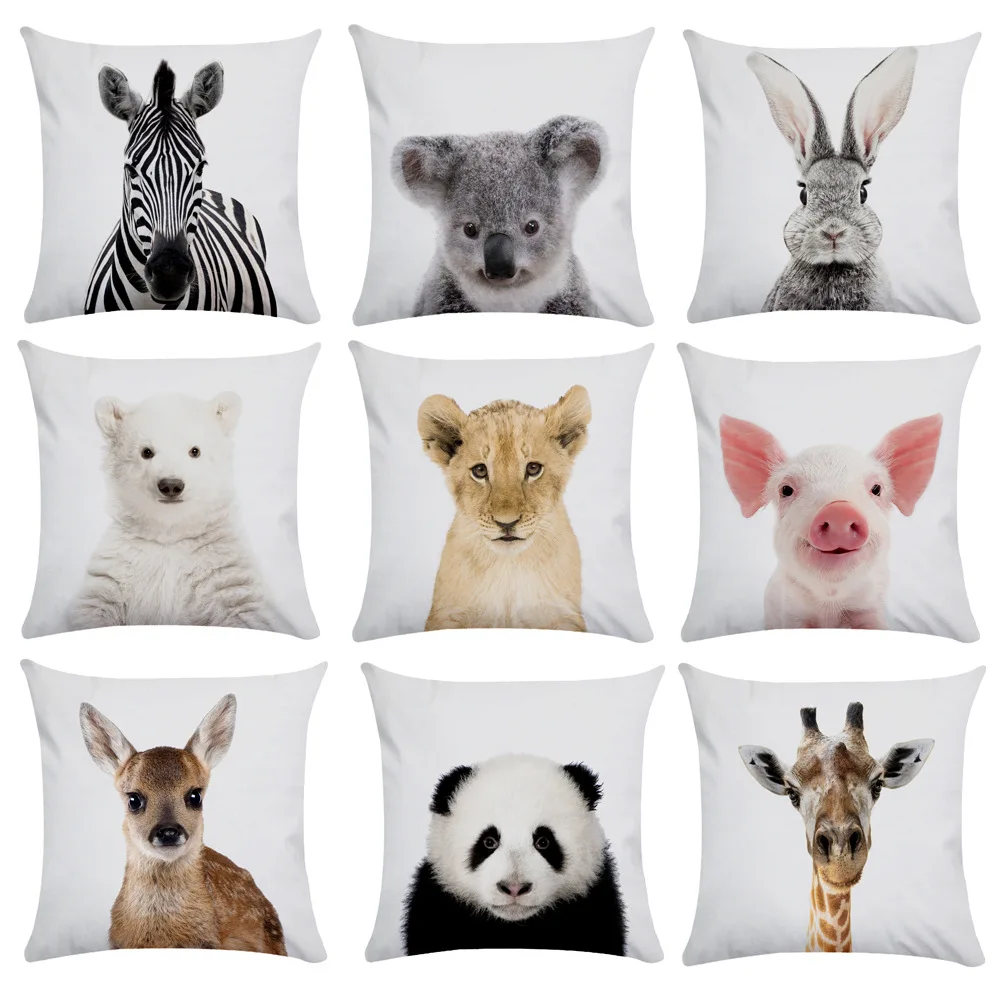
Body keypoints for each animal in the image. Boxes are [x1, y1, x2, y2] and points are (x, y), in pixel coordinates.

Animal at [403, 754, 627, 956]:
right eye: (489, 842)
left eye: (543, 842)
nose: (514, 888)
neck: (514, 926)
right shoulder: (438, 903)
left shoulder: (593, 905)